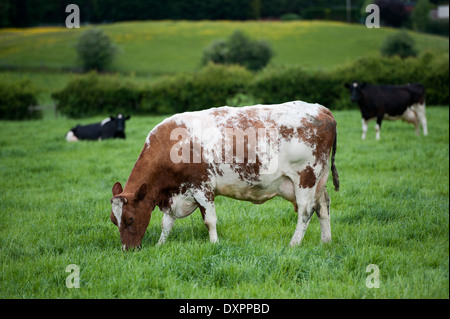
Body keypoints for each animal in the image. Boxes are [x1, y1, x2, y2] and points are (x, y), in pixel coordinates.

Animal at [110, 101, 340, 251]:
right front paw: (160, 245)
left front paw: (214, 244)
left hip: (306, 177)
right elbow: (167, 223)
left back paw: (294, 243)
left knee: (305, 211)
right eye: (114, 220)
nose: (127, 250)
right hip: (319, 180)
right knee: (323, 206)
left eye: (130, 218)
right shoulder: (176, 193)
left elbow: (210, 220)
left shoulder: (202, 187)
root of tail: (321, 109)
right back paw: (326, 241)